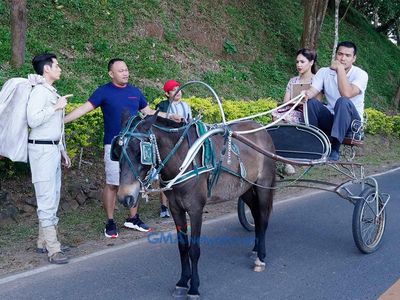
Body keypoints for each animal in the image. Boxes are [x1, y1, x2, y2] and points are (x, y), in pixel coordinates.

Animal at [114, 113, 274, 298]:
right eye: (117, 152)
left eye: (141, 151)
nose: (124, 197)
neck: (183, 161)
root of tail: (262, 130)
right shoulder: (176, 210)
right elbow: (183, 247)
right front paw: (183, 282)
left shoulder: (196, 210)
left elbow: (194, 250)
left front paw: (194, 287)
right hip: (245, 188)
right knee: (256, 213)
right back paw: (255, 249)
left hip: (263, 185)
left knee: (263, 217)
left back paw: (261, 257)